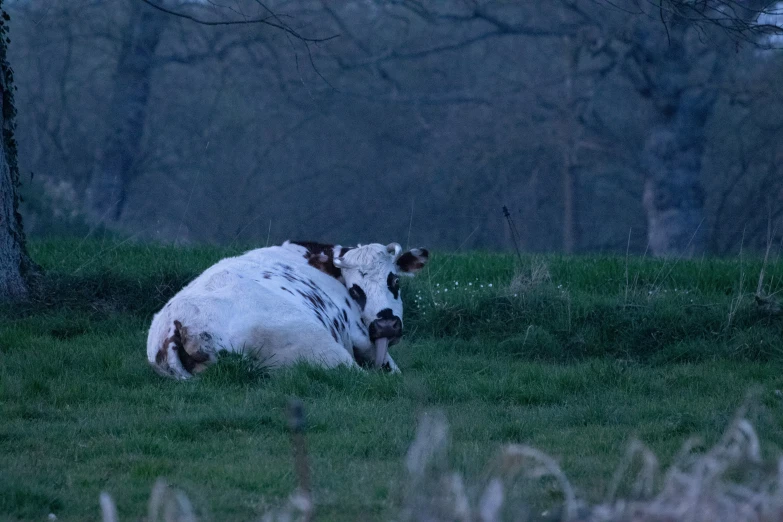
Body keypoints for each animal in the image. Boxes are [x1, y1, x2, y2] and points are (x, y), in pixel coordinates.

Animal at [146, 240, 428, 378]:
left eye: (395, 280)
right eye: (355, 290)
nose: (386, 325)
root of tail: (177, 322)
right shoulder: (361, 337)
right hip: (319, 346)